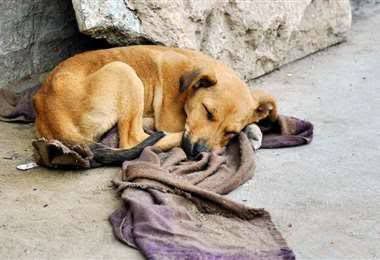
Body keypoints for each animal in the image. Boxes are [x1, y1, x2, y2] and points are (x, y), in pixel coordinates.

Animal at [33, 45, 276, 157]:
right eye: (207, 111)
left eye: (231, 132)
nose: (197, 152)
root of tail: (48, 109)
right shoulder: (172, 119)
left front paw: (252, 131)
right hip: (124, 71)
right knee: (132, 140)